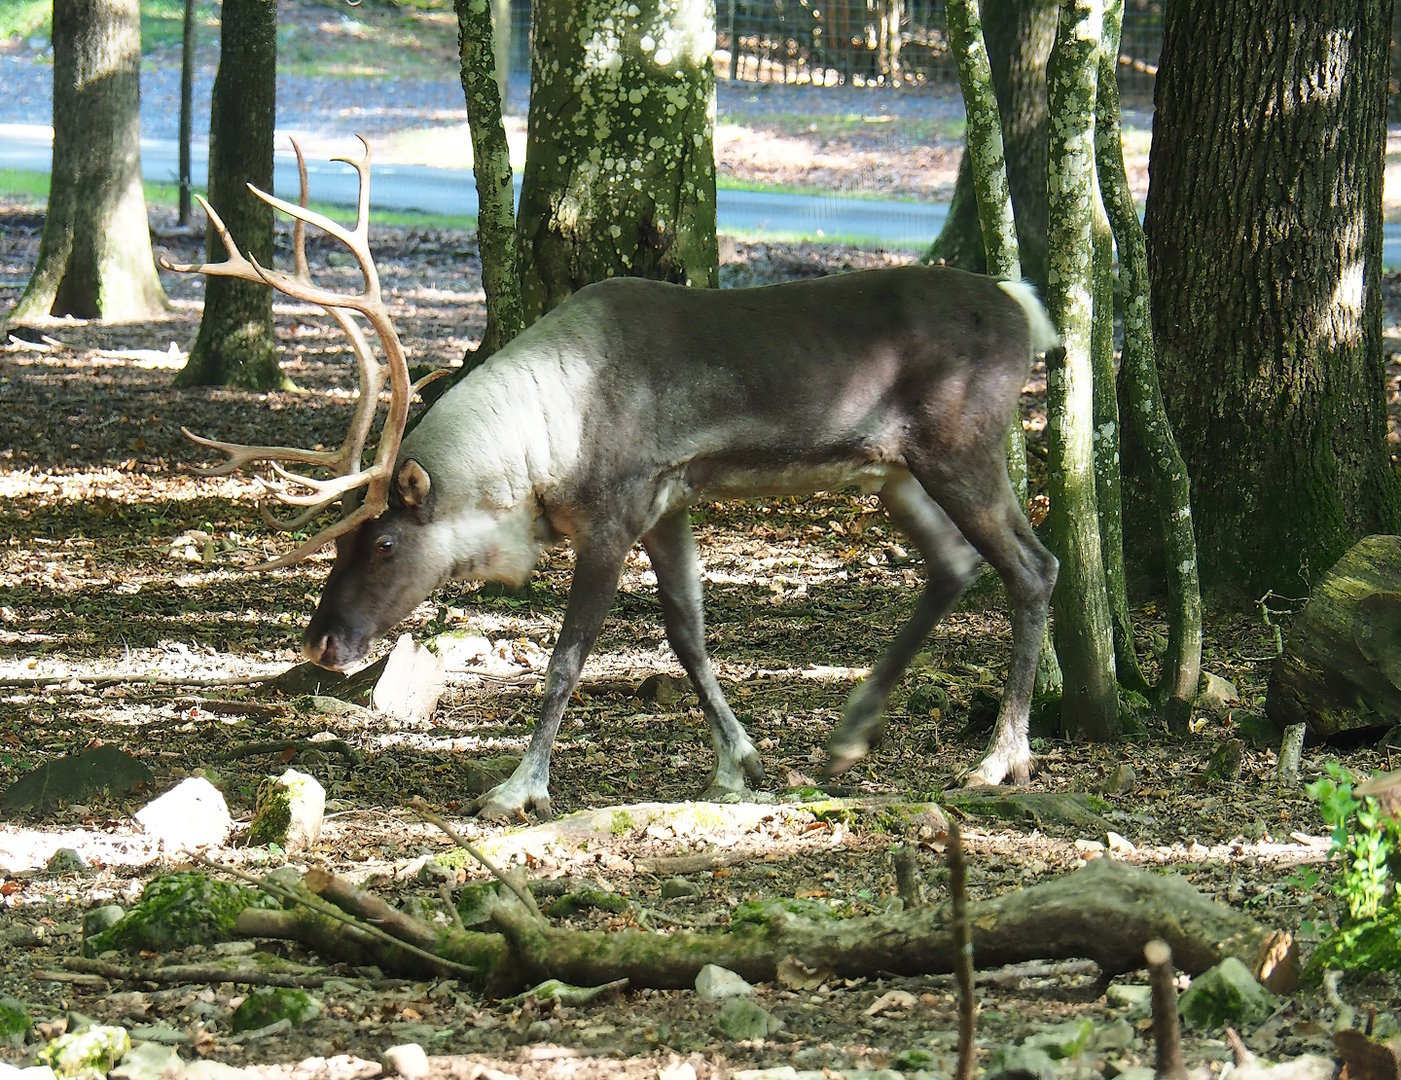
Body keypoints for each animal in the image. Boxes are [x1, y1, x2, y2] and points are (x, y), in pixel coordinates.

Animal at [164, 139, 1060, 821]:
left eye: (382, 542)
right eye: (339, 538)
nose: (321, 641)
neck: (539, 450)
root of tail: (1028, 309)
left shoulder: (614, 512)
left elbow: (568, 657)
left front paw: (518, 787)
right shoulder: (668, 508)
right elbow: (689, 636)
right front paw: (739, 762)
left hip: (963, 447)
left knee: (1032, 565)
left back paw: (999, 759)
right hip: (893, 470)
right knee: (954, 563)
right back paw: (847, 736)